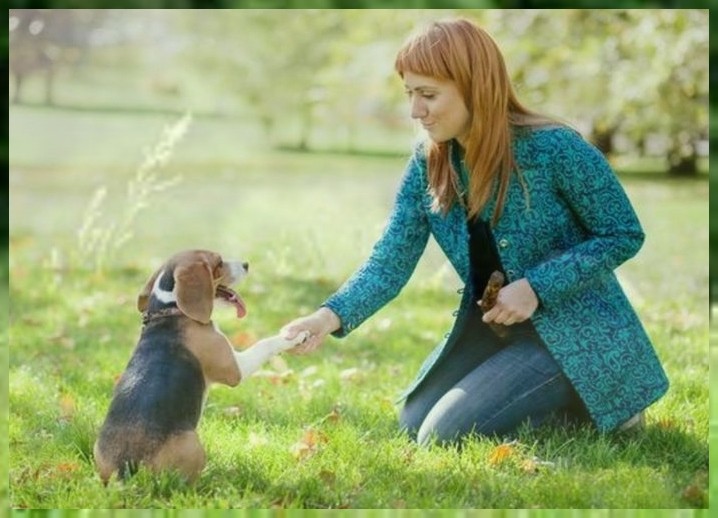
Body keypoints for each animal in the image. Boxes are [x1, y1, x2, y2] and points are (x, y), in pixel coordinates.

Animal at [94, 250, 308, 486]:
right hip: (192, 442)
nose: (246, 264)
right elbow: (265, 344)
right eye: (219, 262)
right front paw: (294, 336)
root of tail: (126, 470)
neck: (171, 309)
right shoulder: (235, 369)